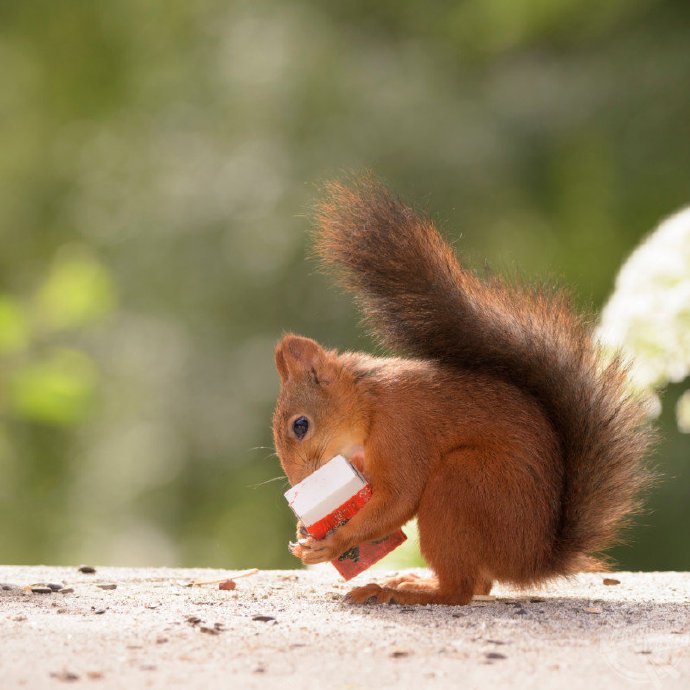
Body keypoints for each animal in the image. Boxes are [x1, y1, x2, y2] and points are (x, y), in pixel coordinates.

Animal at [268, 176, 652, 600]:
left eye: (300, 426)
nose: (299, 484)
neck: (370, 402)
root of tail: (532, 560)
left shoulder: (403, 430)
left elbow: (399, 497)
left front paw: (331, 543)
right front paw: (304, 528)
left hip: (460, 484)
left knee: (461, 590)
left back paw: (407, 591)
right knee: (479, 583)